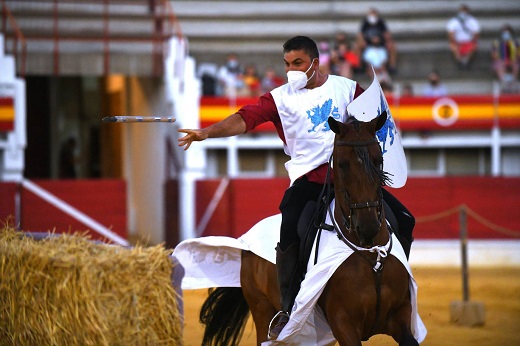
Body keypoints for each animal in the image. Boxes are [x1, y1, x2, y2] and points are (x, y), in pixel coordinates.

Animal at [199, 115, 418, 346]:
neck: (370, 253)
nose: (368, 226)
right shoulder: (343, 323)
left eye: (379, 161)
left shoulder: (401, 316)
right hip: (261, 310)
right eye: (342, 165)